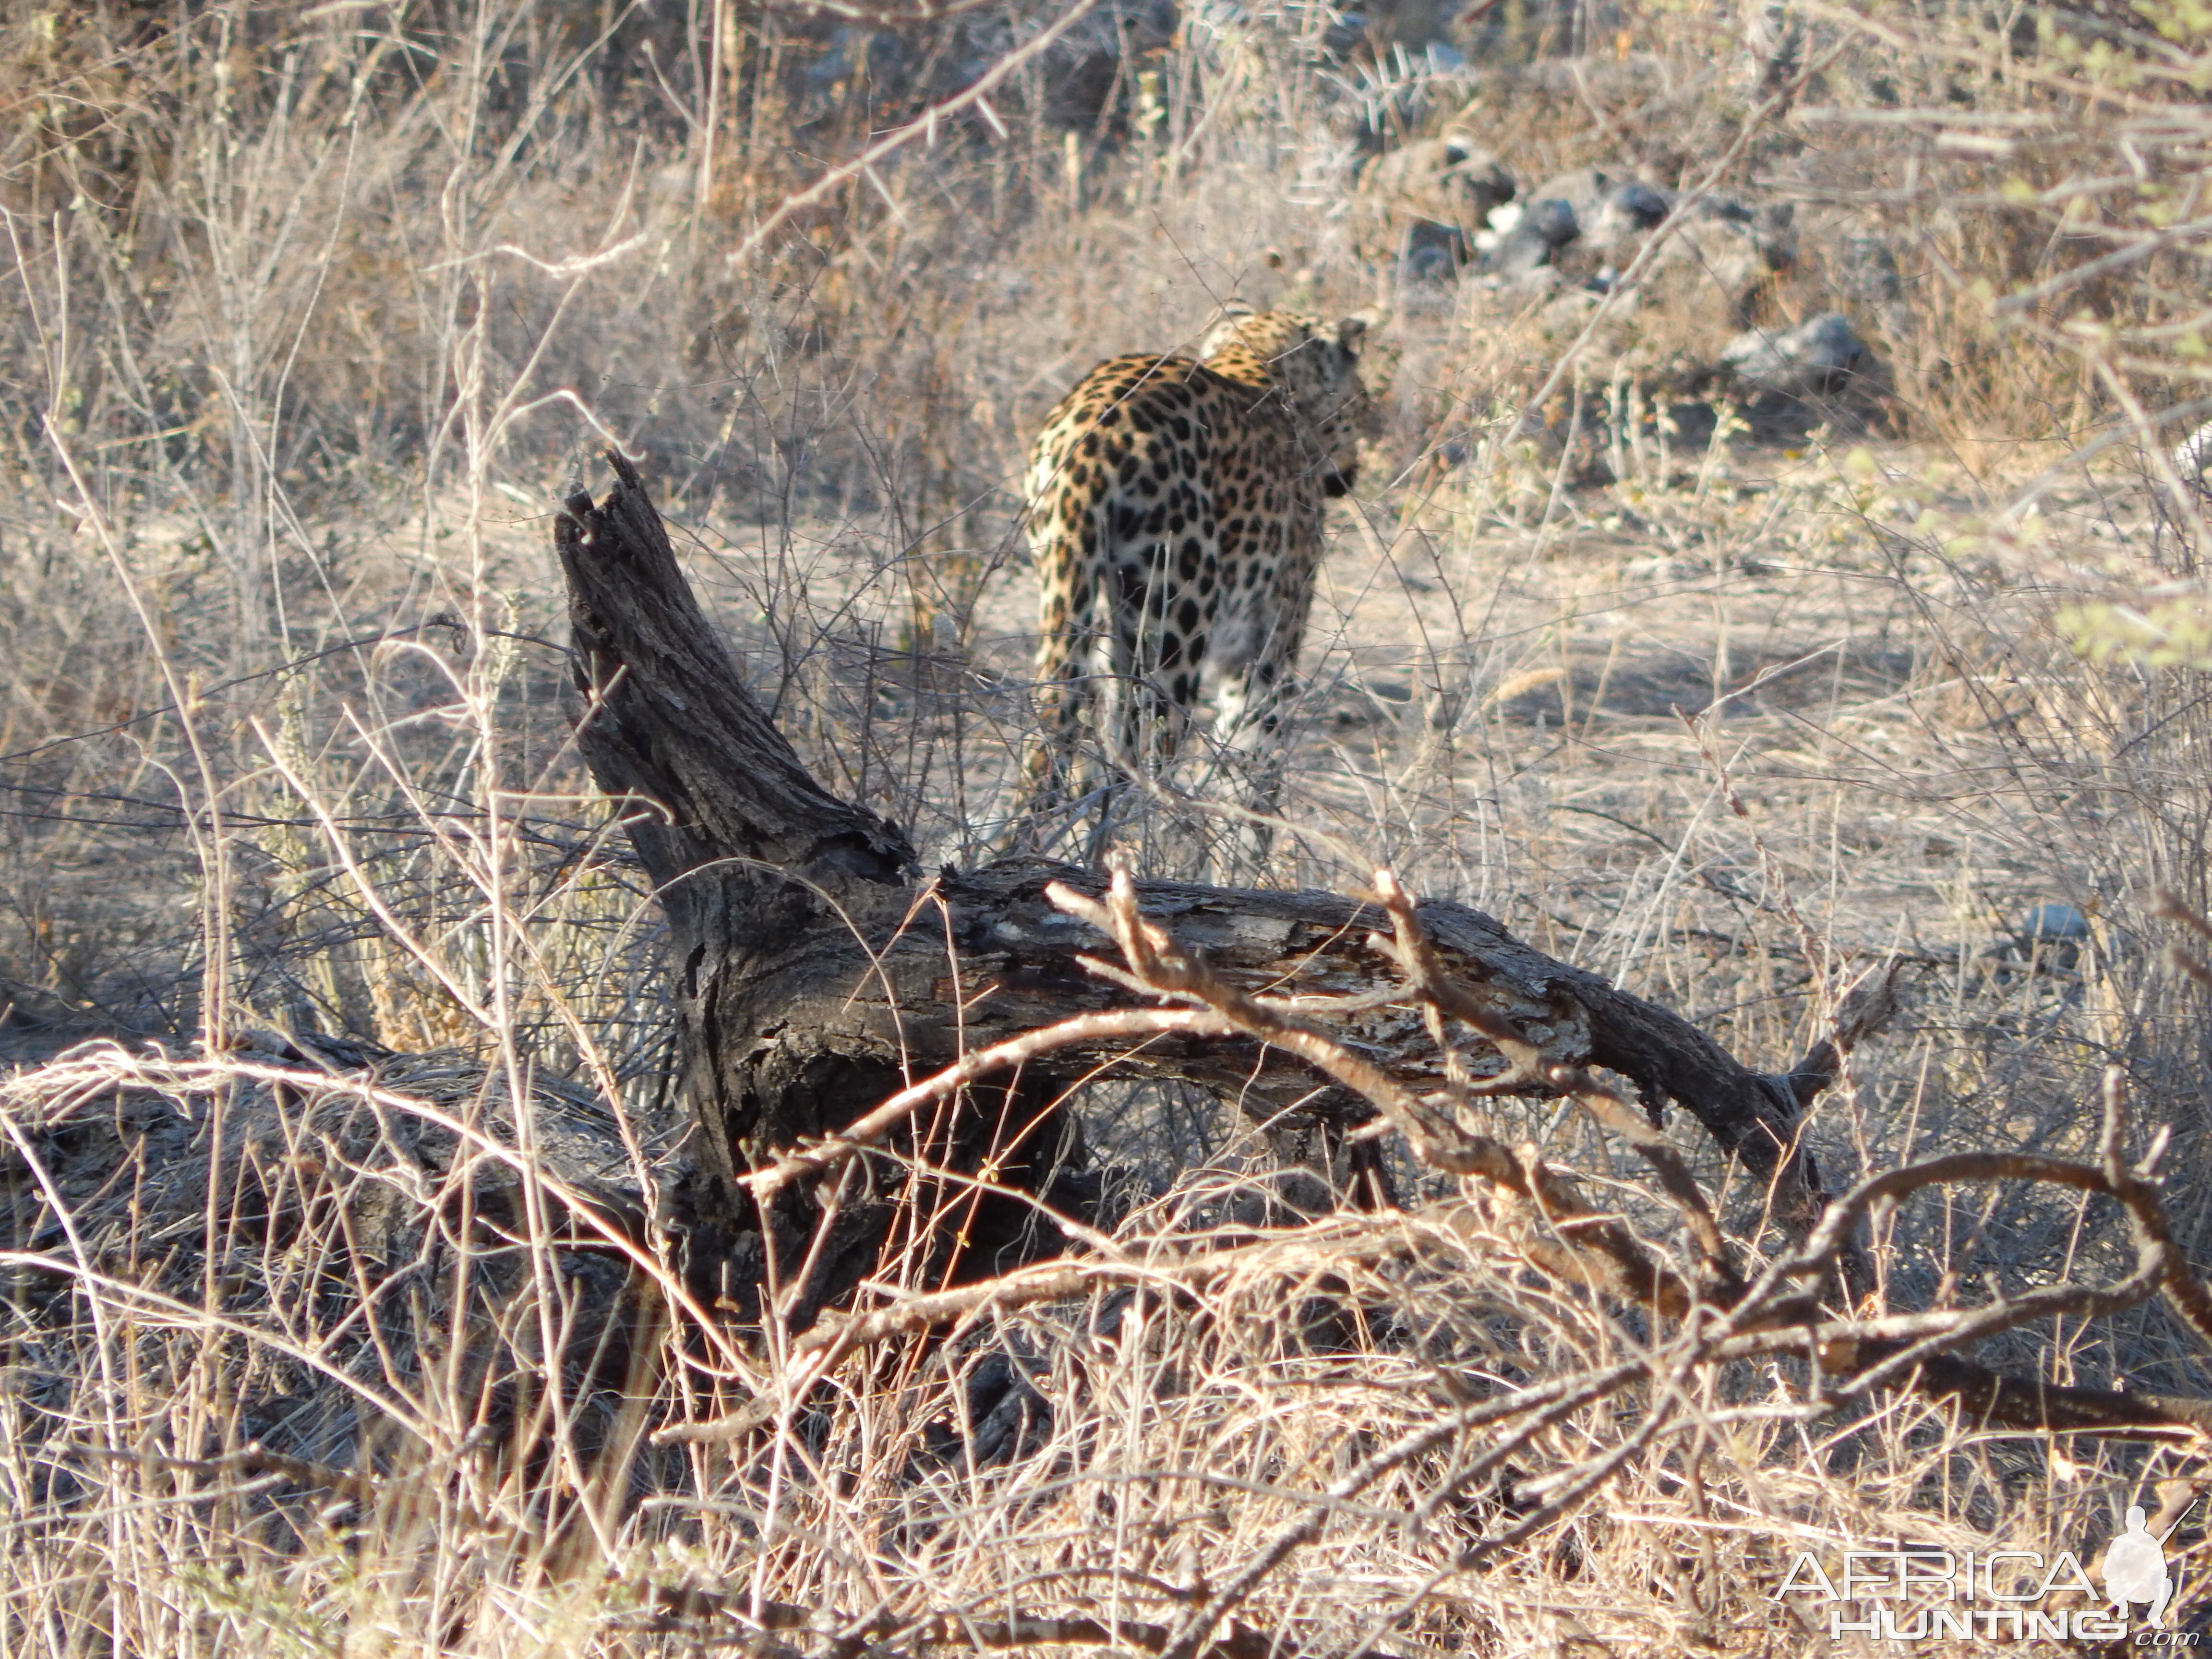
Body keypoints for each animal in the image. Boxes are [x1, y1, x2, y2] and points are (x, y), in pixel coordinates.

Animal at [1022, 307, 1380, 831]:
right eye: (1365, 397)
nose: (1355, 469)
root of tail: (1093, 434)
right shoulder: (1266, 654)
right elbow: (1253, 782)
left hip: (1075, 615)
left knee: (1058, 761)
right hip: (1172, 643)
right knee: (1134, 778)